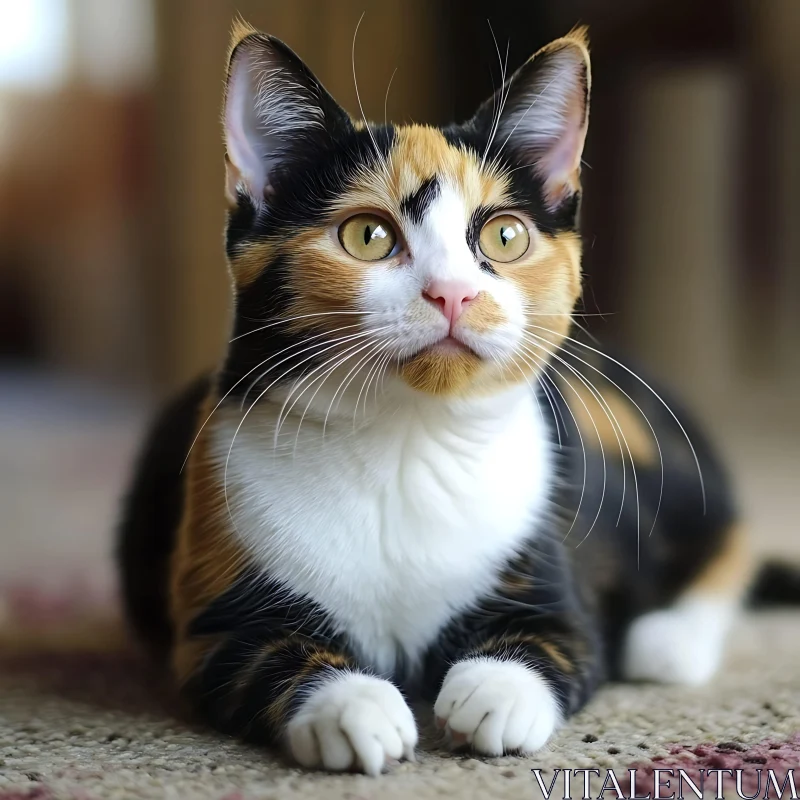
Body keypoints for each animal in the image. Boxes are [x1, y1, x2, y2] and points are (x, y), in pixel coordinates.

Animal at [117, 23, 752, 776]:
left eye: (504, 235)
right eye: (368, 235)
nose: (453, 293)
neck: (407, 440)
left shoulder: (560, 587)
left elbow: (559, 637)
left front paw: (494, 692)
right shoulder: (214, 613)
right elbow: (257, 653)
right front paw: (353, 707)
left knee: (727, 529)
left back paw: (669, 638)